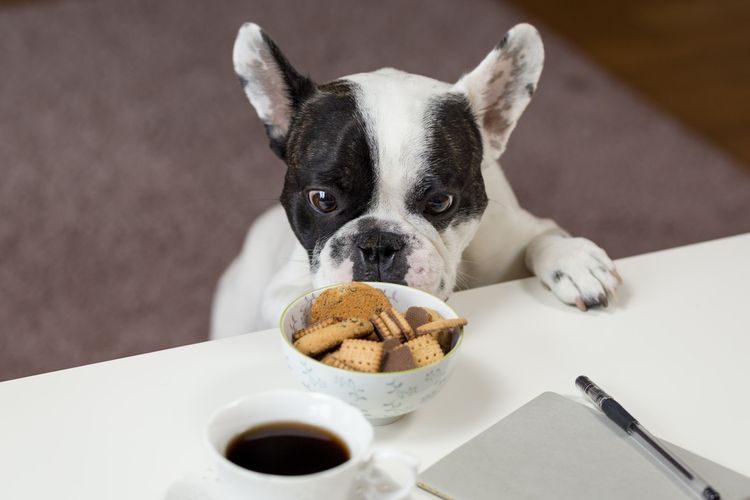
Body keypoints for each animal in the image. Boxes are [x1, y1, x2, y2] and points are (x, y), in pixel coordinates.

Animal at [212, 21, 624, 338]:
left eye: (440, 202)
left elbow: (543, 236)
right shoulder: (280, 289)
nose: (378, 244)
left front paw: (573, 260)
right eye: (322, 199)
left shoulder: (514, 232)